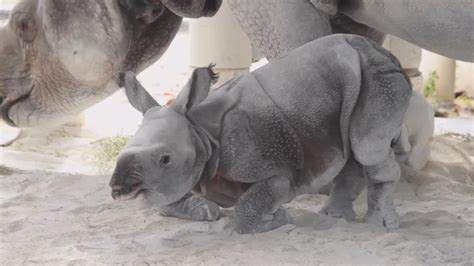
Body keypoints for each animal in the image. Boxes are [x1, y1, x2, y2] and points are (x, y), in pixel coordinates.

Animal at [110, 34, 412, 234]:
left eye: (165, 159)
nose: (117, 187)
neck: (199, 131)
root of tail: (382, 51)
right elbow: (166, 201)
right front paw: (206, 211)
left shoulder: (272, 170)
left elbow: (247, 212)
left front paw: (279, 219)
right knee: (352, 149)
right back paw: (334, 218)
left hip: (379, 77)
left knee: (366, 148)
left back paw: (380, 227)